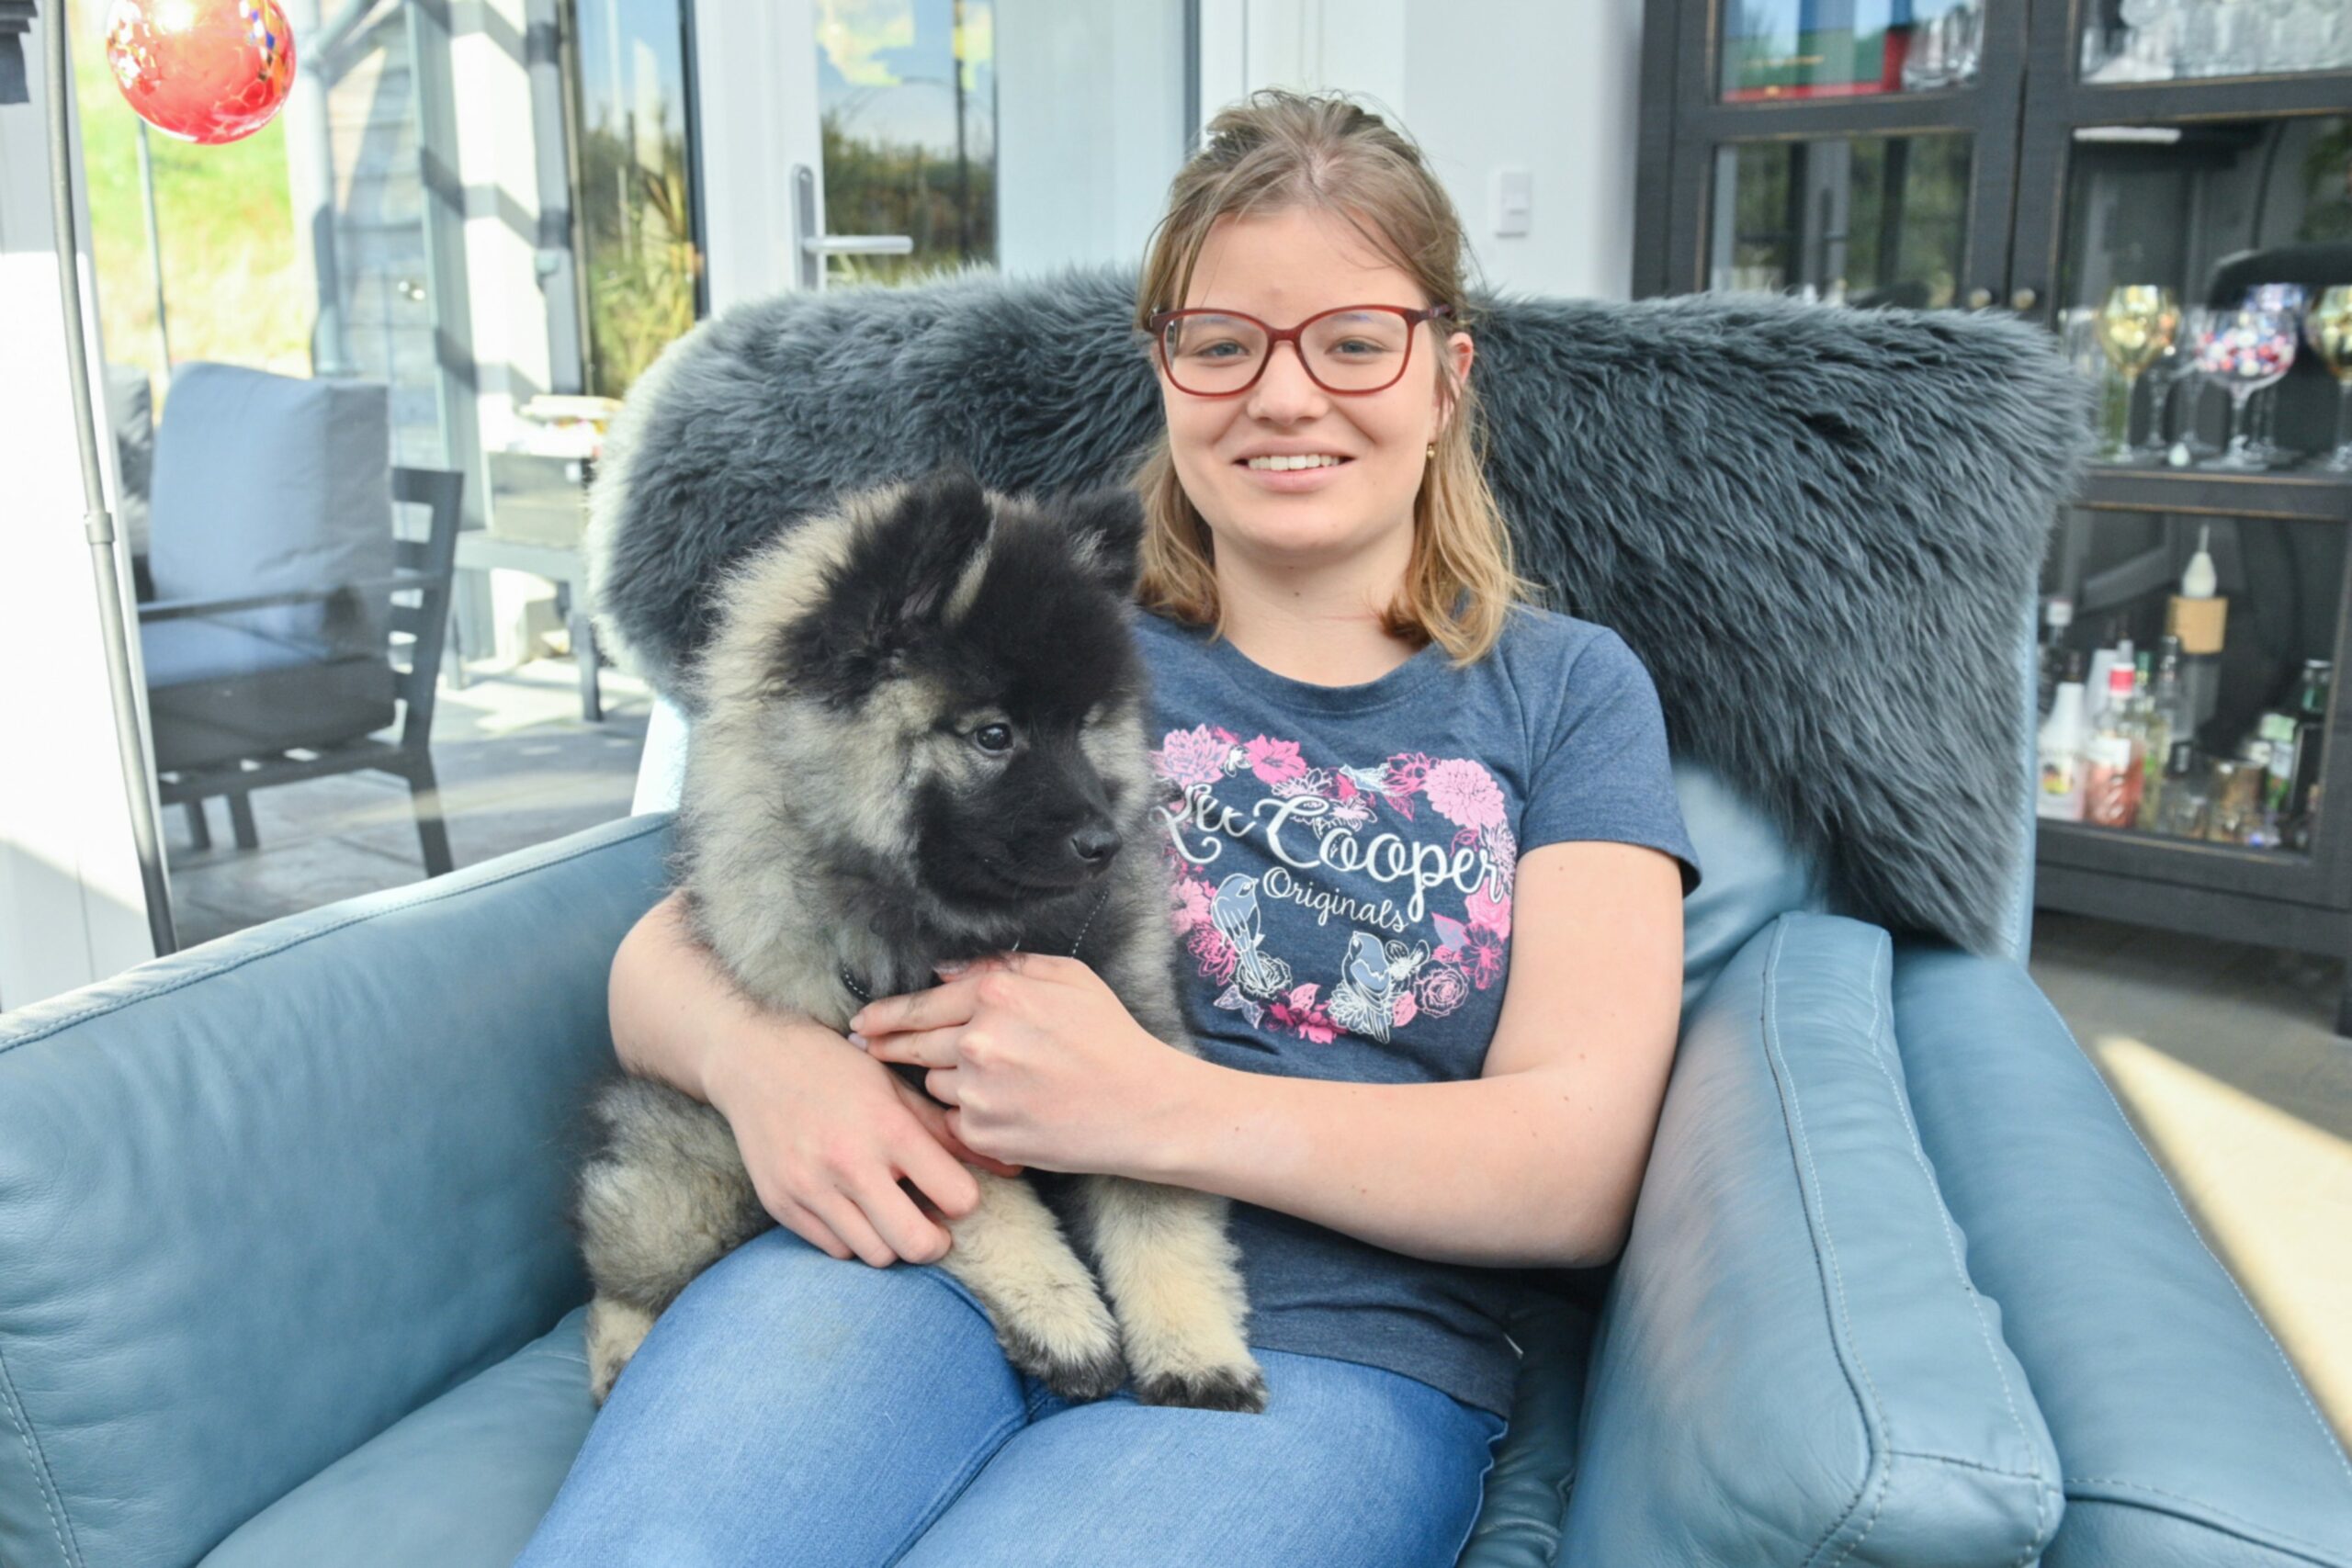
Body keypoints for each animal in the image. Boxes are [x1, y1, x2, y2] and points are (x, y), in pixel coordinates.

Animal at [571, 472, 1270, 1419]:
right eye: (993, 735)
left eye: (1085, 724)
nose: (1101, 842)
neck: (958, 926)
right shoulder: (892, 1096)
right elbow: (985, 1201)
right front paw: (1062, 1315)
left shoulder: (1132, 1047)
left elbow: (1158, 1211)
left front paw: (1197, 1352)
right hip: (696, 1178)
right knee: (620, 1269)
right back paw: (620, 1348)